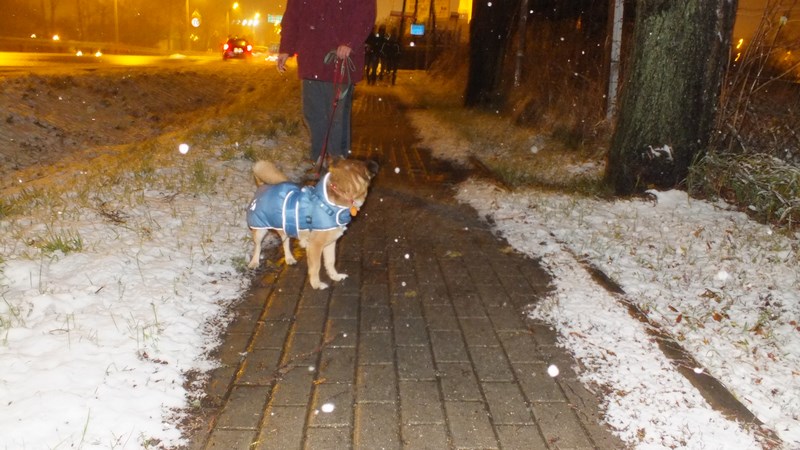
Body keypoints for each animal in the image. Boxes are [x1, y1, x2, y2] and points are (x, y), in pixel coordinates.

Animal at [246, 158, 378, 289]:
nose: (376, 163)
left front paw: (334, 276)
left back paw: (289, 258)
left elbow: (330, 262)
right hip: (260, 229)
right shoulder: (315, 246)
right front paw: (316, 284)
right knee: (258, 246)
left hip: (285, 226)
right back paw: (254, 262)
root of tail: (261, 185)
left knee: (285, 242)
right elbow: (316, 267)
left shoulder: (330, 243)